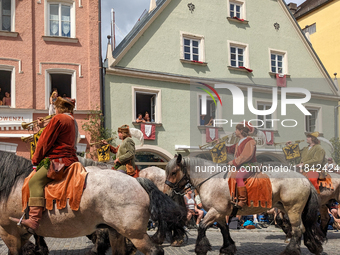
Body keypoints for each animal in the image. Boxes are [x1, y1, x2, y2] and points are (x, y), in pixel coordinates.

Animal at [166, 154, 326, 254]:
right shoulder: (220, 213)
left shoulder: (215, 211)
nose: (167, 190)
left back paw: (291, 251)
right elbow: (224, 229)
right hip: (289, 209)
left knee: (298, 229)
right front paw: (228, 248)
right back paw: (313, 246)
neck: (211, 180)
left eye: (173, 172)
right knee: (303, 228)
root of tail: (304, 179)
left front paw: (201, 248)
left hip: (293, 209)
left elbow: (202, 227)